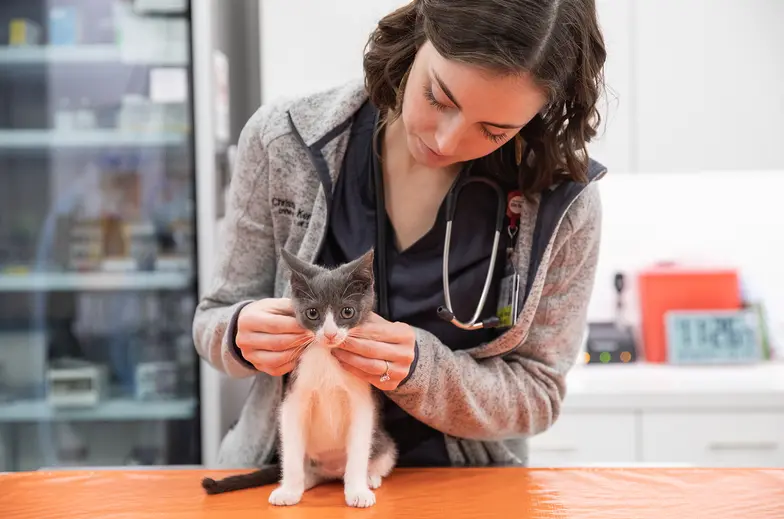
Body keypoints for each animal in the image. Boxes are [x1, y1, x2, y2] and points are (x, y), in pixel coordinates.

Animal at [202, 248, 398, 508]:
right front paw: (289, 490)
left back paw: (370, 476)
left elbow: (358, 449)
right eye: (313, 313)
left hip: (385, 444)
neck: (326, 357)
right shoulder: (293, 402)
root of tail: (331, 471)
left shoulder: (362, 402)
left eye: (347, 312)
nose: (330, 334)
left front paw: (357, 491)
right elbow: (292, 451)